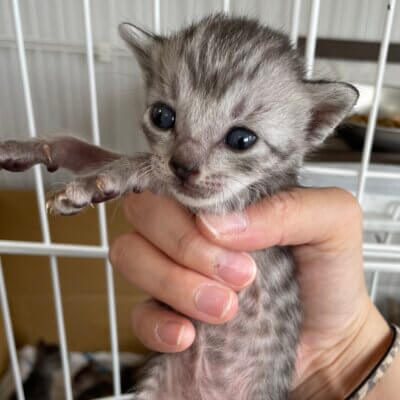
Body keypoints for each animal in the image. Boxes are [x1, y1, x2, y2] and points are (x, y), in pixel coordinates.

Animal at [0, 14, 356, 398]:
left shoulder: (231, 204)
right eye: (162, 116)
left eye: (242, 139)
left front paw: (93, 183)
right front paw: (34, 148)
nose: (183, 168)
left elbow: (139, 164)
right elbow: (88, 150)